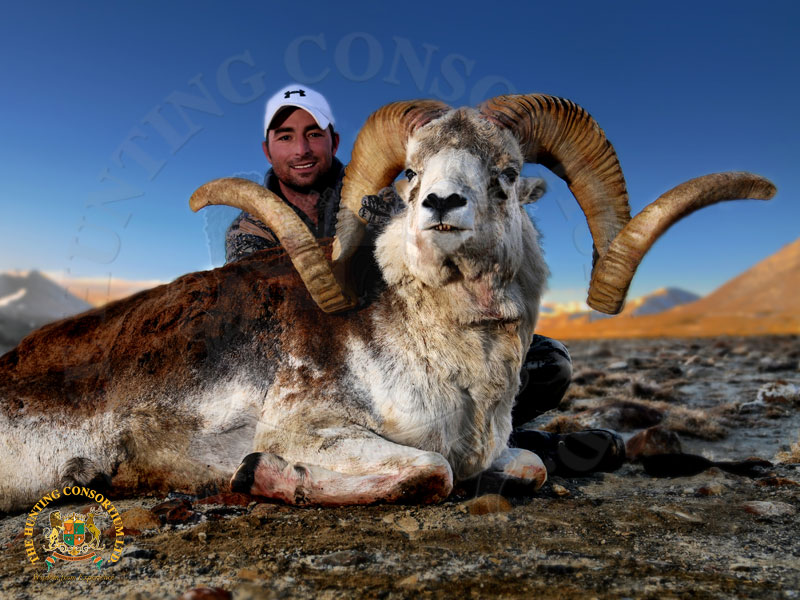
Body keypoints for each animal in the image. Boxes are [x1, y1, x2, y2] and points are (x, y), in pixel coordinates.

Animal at [0, 95, 775, 511]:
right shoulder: (315, 431)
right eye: (412, 173)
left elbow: (528, 466)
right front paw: (257, 475)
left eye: (506, 172)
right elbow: (431, 472)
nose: (440, 205)